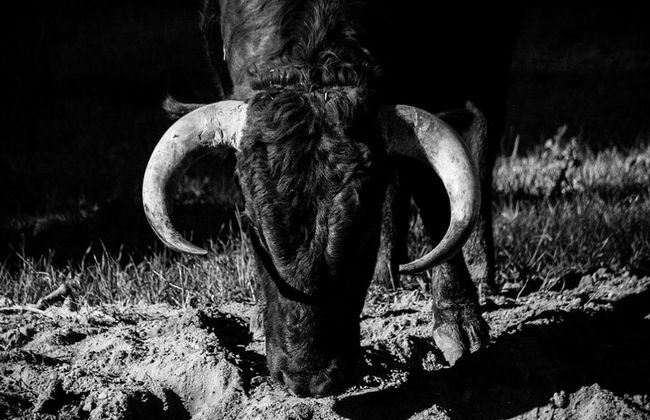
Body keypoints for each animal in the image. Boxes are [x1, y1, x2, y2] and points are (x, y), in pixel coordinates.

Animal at [142, 0, 508, 397]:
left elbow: (435, 194)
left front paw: (457, 320)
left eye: (364, 231)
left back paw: (481, 272)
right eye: (256, 231)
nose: (309, 378)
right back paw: (388, 272)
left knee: (481, 145)